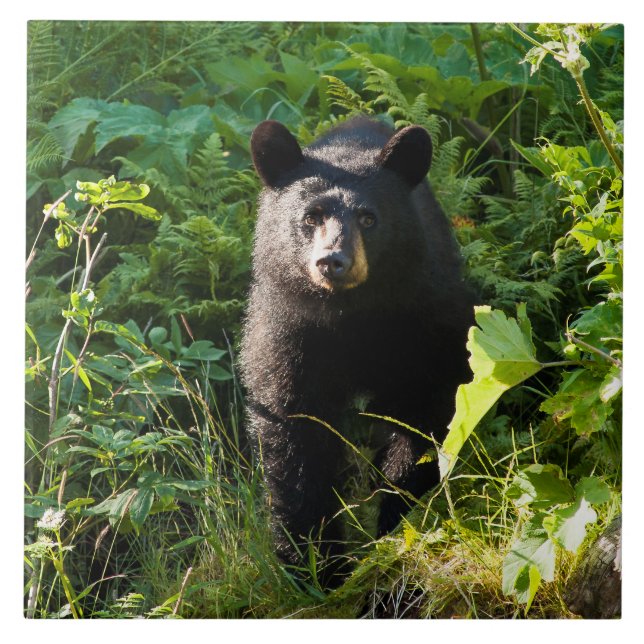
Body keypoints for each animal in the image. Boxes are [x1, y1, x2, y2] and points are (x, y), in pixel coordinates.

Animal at [240, 117, 475, 585]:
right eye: (310, 217)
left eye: (369, 218)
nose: (333, 261)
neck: (351, 315)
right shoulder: (287, 333)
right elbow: (294, 432)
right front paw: (315, 564)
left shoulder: (424, 320)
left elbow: (423, 412)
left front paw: (395, 518)